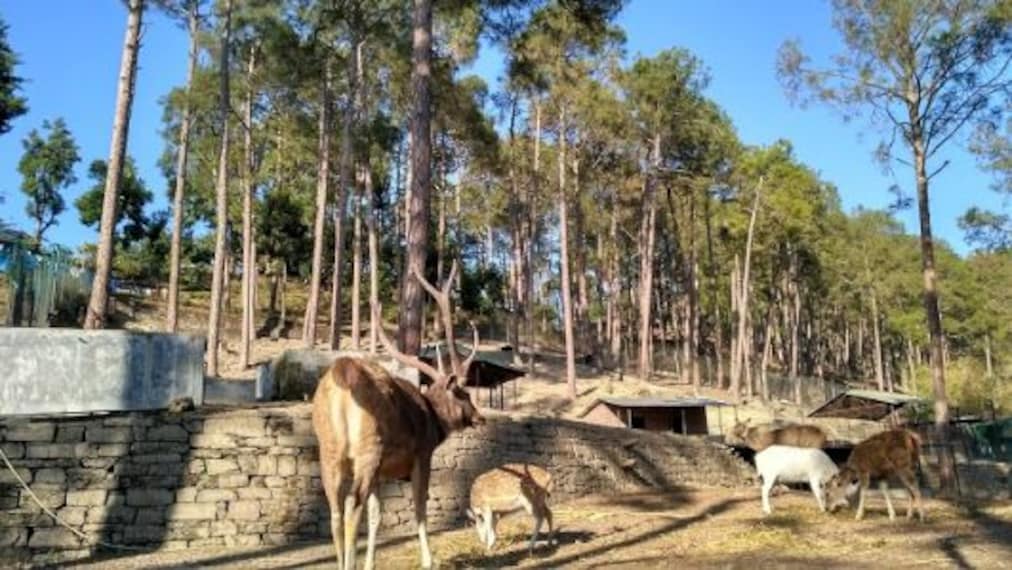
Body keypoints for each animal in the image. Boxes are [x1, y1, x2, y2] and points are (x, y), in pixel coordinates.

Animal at [311, 261, 485, 570]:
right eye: (464, 393)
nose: (479, 417)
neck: (433, 421)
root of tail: (342, 373)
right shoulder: (422, 454)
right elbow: (420, 507)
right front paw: (428, 559)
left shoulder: (381, 473)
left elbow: (377, 516)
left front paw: (370, 564)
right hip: (369, 448)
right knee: (351, 504)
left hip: (329, 450)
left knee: (335, 508)